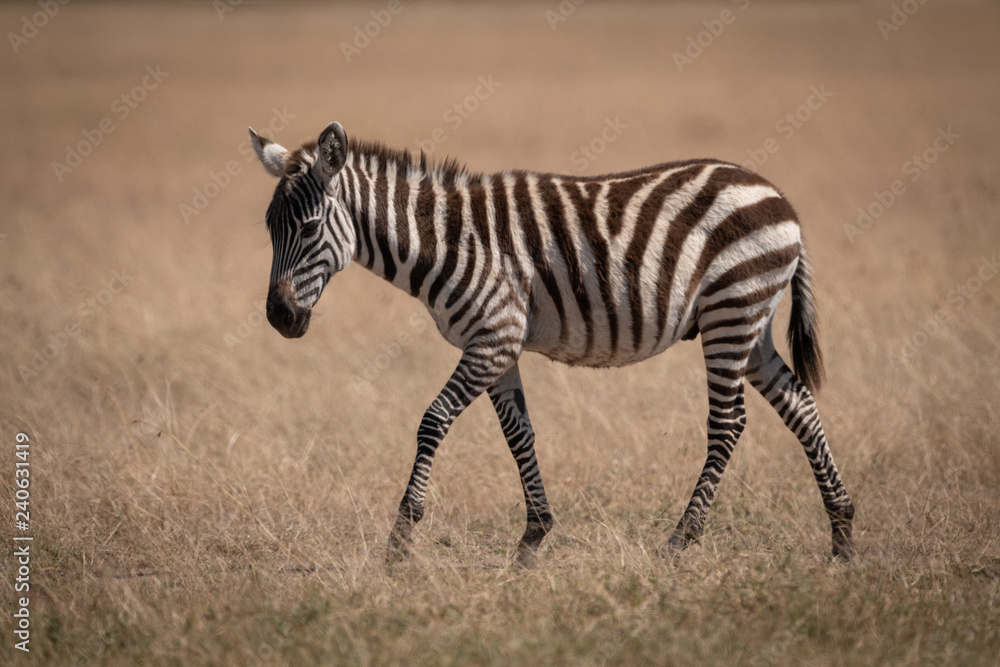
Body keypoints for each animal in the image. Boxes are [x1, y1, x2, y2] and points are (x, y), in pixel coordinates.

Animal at [248, 120, 856, 566]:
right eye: (269, 227)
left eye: (307, 228)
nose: (279, 318)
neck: (444, 241)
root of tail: (779, 198)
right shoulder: (497, 345)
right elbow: (520, 435)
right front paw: (534, 536)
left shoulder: (493, 336)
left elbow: (432, 420)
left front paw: (401, 538)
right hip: (750, 324)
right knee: (800, 405)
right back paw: (843, 535)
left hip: (733, 310)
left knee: (729, 424)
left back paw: (680, 541)